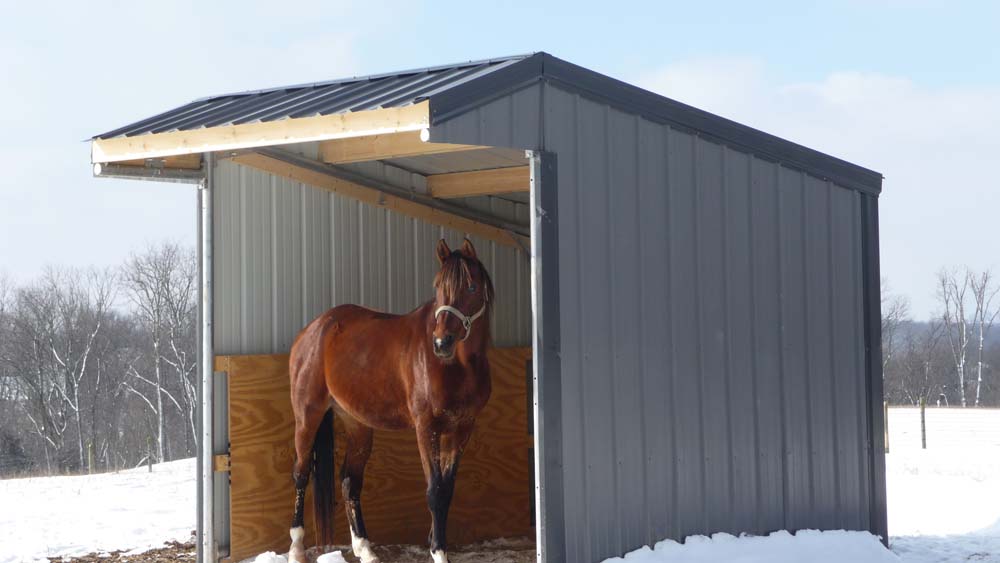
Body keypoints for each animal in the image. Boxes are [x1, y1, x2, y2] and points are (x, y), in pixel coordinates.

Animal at [288, 239, 494, 563]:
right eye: (438, 286)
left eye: (471, 287)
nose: (441, 343)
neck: (458, 366)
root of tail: (312, 330)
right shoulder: (426, 428)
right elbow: (434, 491)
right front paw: (438, 551)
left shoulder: (462, 428)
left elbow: (447, 490)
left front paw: (436, 542)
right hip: (307, 415)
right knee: (301, 472)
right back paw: (296, 549)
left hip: (357, 424)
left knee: (349, 481)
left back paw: (365, 549)